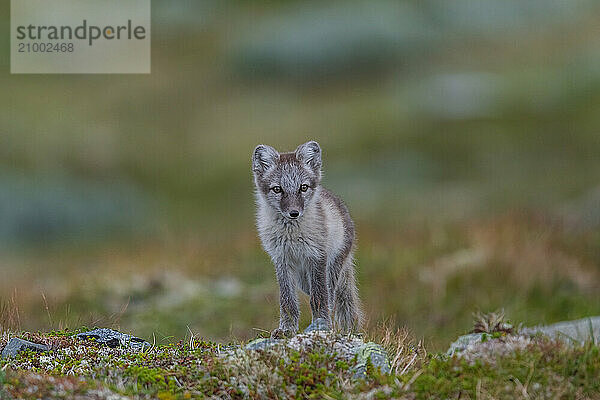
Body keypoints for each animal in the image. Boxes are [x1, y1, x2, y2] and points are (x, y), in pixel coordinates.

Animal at [252, 141, 364, 338]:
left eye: (303, 187)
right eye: (277, 189)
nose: (294, 213)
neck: (291, 235)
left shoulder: (317, 257)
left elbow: (319, 297)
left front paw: (321, 325)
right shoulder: (281, 260)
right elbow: (287, 301)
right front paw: (286, 330)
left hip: (333, 266)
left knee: (330, 293)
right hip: (302, 278)